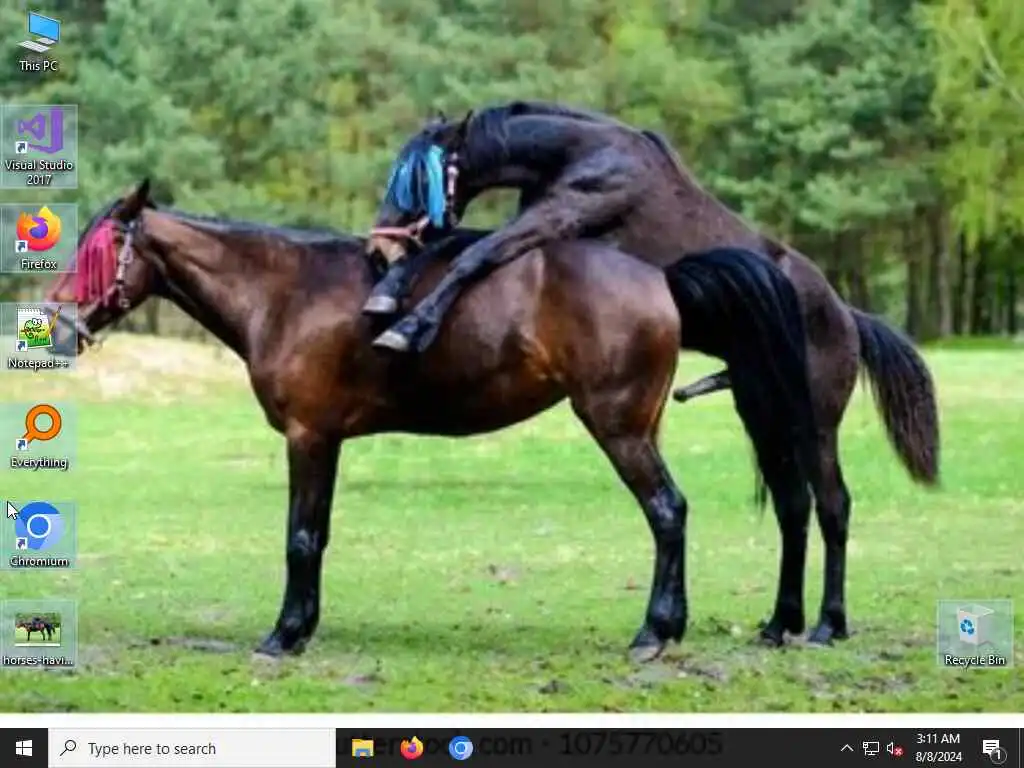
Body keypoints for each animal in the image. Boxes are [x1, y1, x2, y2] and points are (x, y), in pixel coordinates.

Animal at [45, 178, 822, 662]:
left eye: (95, 251)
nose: (53, 327)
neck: (287, 292)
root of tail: (660, 277)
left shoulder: (309, 437)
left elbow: (300, 538)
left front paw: (283, 636)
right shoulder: (328, 441)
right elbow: (318, 537)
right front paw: (304, 627)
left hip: (619, 428)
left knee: (667, 511)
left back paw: (654, 632)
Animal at [366, 101, 941, 646]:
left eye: (418, 178)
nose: (379, 244)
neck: (584, 154)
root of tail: (848, 317)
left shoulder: (553, 221)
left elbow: (473, 254)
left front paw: (410, 326)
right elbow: (453, 244)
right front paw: (387, 294)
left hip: (814, 425)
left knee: (833, 505)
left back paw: (828, 624)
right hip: (764, 415)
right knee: (793, 506)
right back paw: (781, 624)